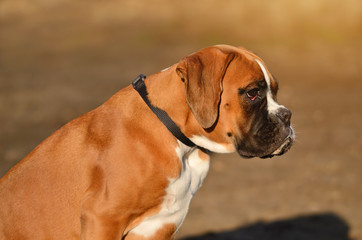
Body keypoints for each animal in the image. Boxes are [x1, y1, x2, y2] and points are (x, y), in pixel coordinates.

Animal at [0, 44, 294, 238]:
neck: (179, 141)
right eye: (253, 93)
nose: (287, 116)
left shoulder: (159, 226)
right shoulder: (102, 219)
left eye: (275, 91)